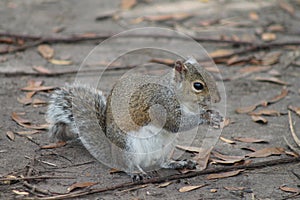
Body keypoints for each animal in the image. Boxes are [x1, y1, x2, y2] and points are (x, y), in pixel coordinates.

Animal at [45, 56, 223, 180]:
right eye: (198, 85)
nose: (218, 100)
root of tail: (112, 152)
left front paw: (213, 114)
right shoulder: (160, 103)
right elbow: (175, 123)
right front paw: (206, 117)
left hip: (167, 146)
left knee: (162, 162)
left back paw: (178, 162)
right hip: (128, 146)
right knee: (126, 165)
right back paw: (136, 171)